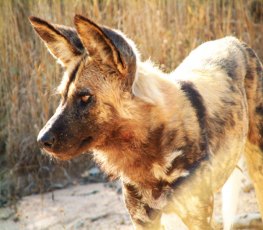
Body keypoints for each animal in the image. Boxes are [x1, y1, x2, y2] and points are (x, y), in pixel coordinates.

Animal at [29, 14, 263, 230]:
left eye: (85, 97)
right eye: (62, 97)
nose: (42, 140)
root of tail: (231, 40)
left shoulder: (198, 217)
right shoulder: (143, 219)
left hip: (257, 164)